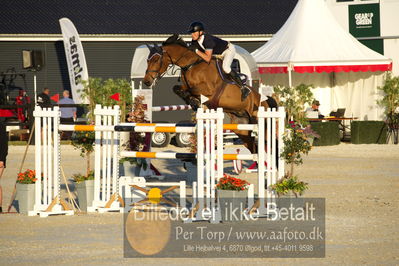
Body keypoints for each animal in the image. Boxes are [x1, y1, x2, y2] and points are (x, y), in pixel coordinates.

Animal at [144, 33, 276, 154]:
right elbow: (177, 88)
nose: (146, 81)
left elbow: (192, 90)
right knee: (254, 148)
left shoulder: (208, 90)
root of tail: (264, 99)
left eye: (156, 59)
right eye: (147, 60)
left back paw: (245, 91)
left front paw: (195, 102)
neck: (191, 65)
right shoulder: (186, 86)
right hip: (242, 128)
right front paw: (193, 102)